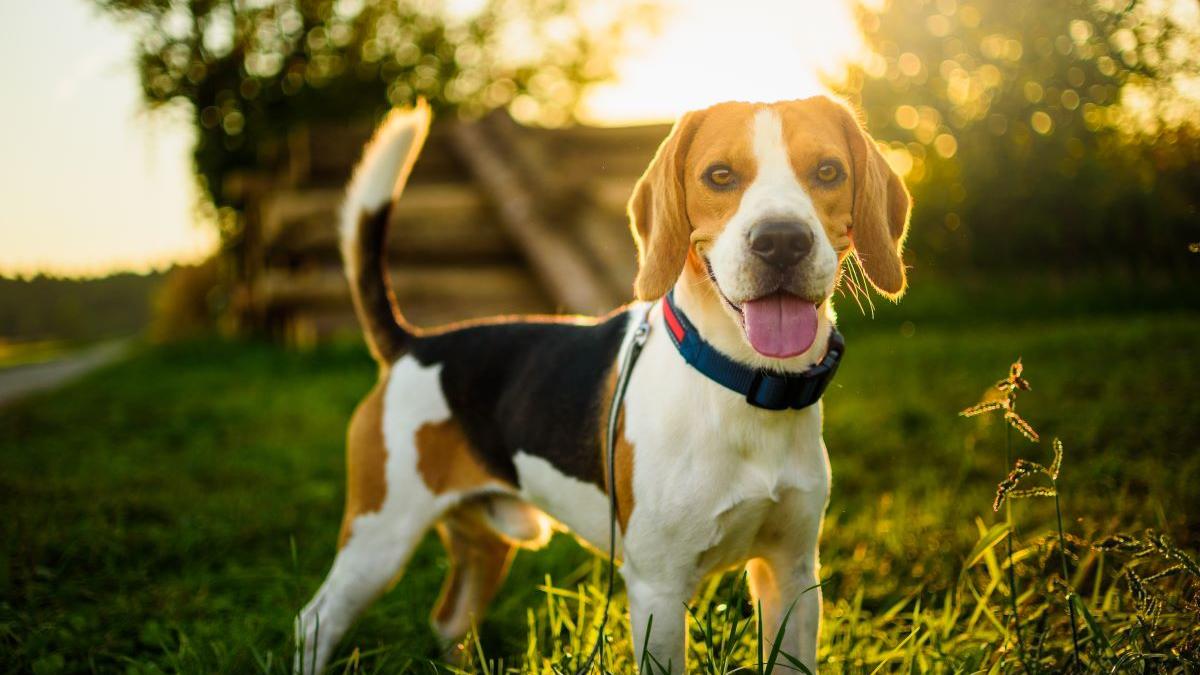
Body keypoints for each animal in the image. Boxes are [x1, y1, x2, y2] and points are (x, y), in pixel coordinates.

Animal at [297, 96, 907, 672]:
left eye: (828, 171)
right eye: (719, 176)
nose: (781, 240)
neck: (745, 386)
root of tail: (413, 343)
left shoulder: (793, 576)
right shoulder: (657, 589)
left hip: (483, 543)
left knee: (449, 620)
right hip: (379, 537)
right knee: (315, 621)